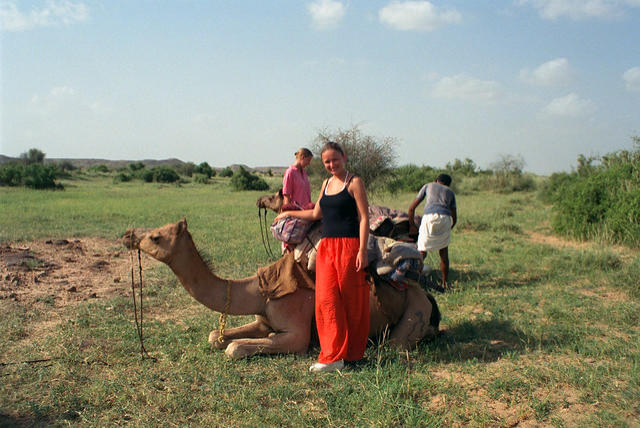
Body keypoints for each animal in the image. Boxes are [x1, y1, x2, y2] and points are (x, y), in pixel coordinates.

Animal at [122, 219, 440, 359]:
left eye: (155, 236)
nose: (127, 235)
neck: (261, 291)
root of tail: (427, 297)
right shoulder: (264, 319)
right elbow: (216, 336)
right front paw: (221, 337)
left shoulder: (295, 332)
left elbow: (235, 348)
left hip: (414, 311)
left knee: (395, 344)